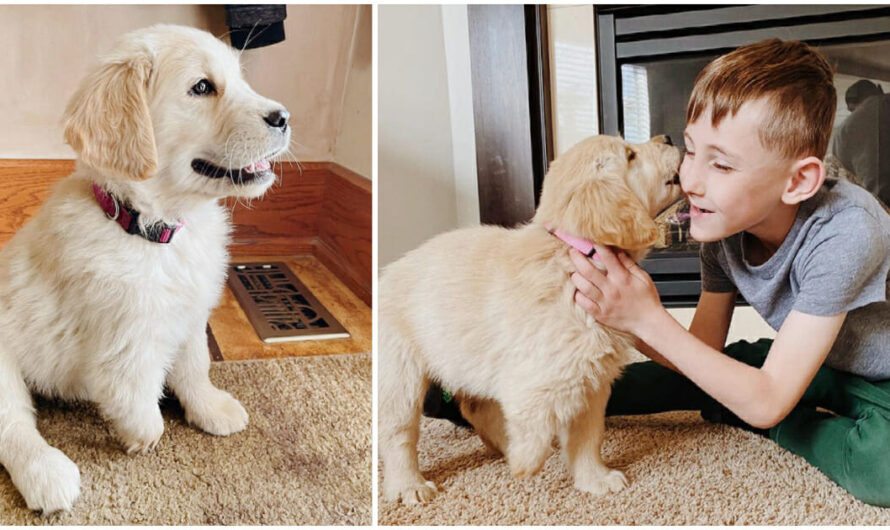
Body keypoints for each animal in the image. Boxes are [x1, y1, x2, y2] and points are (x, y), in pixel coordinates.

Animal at [0, 25, 292, 512]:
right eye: (202, 88)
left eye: (241, 79)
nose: (284, 116)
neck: (155, 229)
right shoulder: (126, 340)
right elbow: (135, 394)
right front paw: (142, 436)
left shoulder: (191, 316)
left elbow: (194, 365)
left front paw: (210, 408)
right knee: (14, 424)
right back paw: (48, 474)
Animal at [376, 134, 680, 502]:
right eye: (631, 155)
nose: (667, 137)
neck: (574, 252)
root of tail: (386, 275)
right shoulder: (536, 376)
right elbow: (534, 420)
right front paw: (527, 462)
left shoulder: (591, 382)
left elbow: (588, 437)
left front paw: (594, 479)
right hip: (400, 370)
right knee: (398, 431)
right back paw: (410, 485)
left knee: (474, 407)